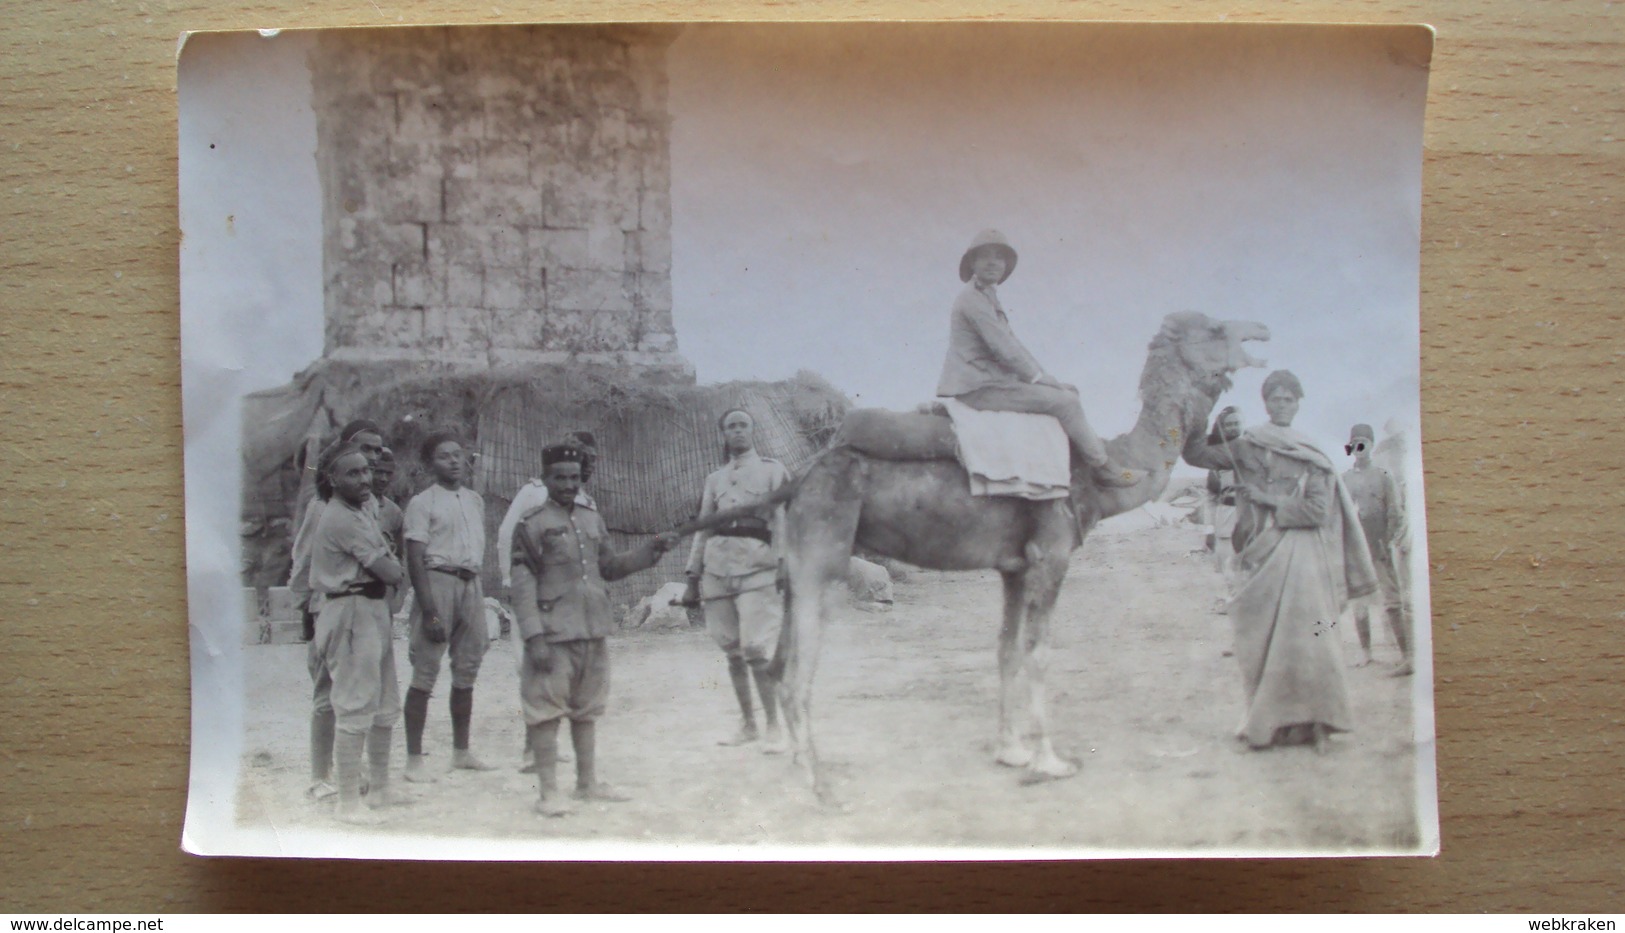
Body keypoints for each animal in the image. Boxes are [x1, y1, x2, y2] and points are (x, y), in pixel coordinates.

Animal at [767, 312, 1261, 806]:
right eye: (1215, 330)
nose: (1262, 333)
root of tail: (799, 479)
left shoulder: (1015, 567)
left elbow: (1006, 650)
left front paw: (1011, 751)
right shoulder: (1052, 554)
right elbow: (1038, 652)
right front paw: (1050, 760)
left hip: (797, 565)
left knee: (780, 661)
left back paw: (796, 765)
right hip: (822, 556)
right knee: (796, 677)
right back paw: (820, 784)